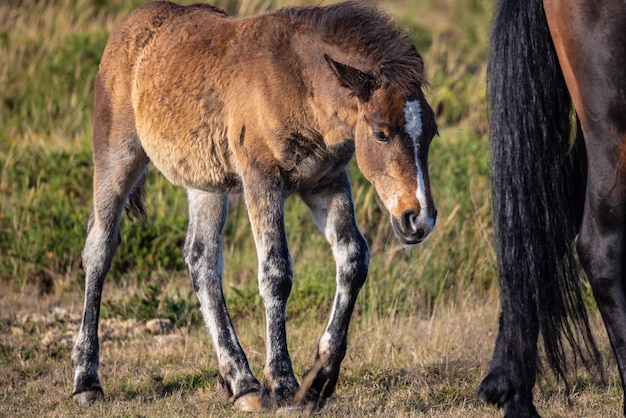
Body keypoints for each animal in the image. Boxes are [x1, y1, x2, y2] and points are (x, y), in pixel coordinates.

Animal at [70, 0, 436, 412]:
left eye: (432, 133)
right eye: (380, 133)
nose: (418, 218)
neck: (299, 82)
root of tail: (130, 26)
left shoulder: (326, 182)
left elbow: (353, 259)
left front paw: (319, 379)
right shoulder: (262, 178)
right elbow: (276, 273)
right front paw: (283, 385)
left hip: (206, 182)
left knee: (201, 259)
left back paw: (241, 382)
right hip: (116, 156)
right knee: (100, 248)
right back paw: (87, 382)